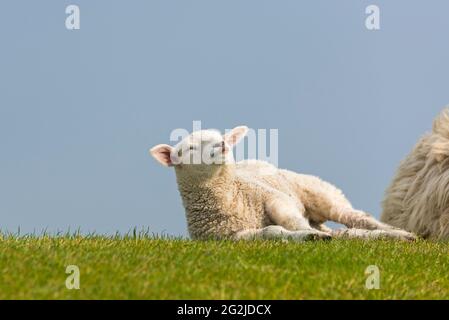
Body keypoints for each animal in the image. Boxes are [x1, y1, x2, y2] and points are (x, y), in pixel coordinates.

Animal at [150, 126, 412, 241]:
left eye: (222, 138)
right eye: (189, 149)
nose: (222, 146)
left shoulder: (274, 198)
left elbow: (290, 220)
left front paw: (307, 234)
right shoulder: (230, 238)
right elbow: (272, 231)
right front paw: (307, 237)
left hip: (322, 195)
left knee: (356, 218)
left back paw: (399, 233)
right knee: (344, 230)